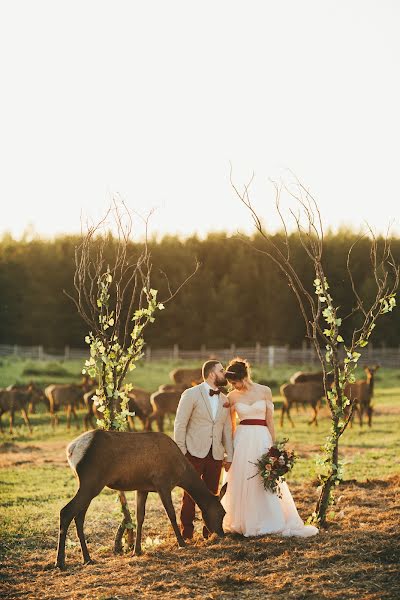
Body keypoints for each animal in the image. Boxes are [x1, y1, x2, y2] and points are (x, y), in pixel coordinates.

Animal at [54, 432, 227, 568]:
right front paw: (182, 543)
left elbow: (140, 517)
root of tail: (71, 449)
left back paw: (87, 559)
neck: (181, 473)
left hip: (88, 485)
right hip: (91, 482)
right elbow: (171, 514)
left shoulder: (142, 488)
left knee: (79, 517)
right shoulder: (162, 483)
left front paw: (137, 550)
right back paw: (60, 562)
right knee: (66, 511)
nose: (222, 534)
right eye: (222, 513)